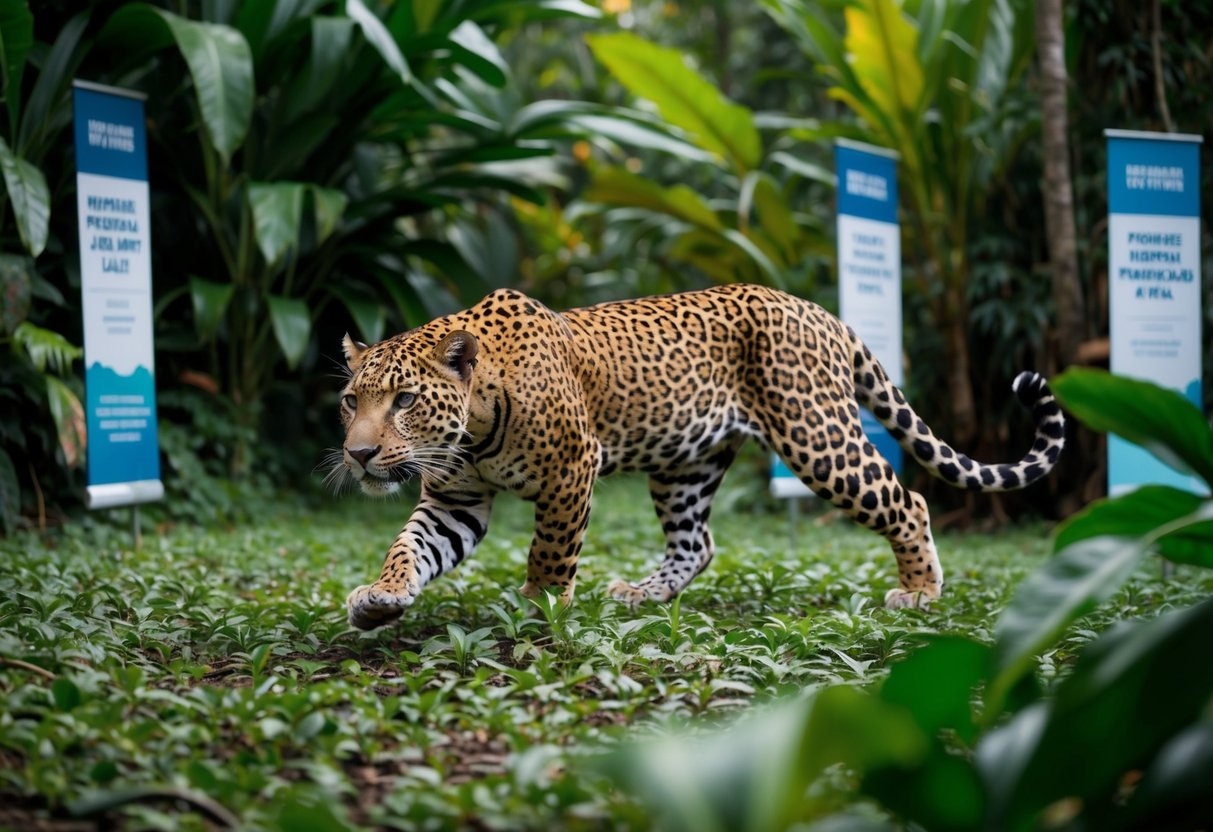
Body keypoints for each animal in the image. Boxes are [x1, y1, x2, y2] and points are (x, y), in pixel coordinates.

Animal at [335, 284, 1065, 630]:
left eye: (403, 400)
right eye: (350, 401)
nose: (360, 455)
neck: (470, 425)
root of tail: (820, 311)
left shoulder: (573, 470)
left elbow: (550, 551)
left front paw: (539, 607)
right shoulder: (455, 497)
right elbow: (411, 546)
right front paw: (380, 599)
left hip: (816, 436)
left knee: (906, 501)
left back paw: (918, 591)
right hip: (685, 462)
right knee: (697, 542)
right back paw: (641, 594)